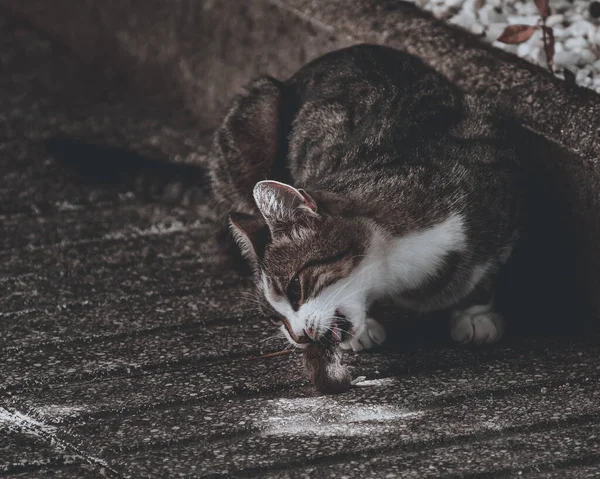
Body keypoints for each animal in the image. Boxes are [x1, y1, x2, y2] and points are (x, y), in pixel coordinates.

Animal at [209, 44, 524, 352]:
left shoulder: (494, 144)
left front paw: (475, 311)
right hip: (258, 110)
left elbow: (487, 266)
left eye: (295, 288)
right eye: (276, 317)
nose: (297, 336)